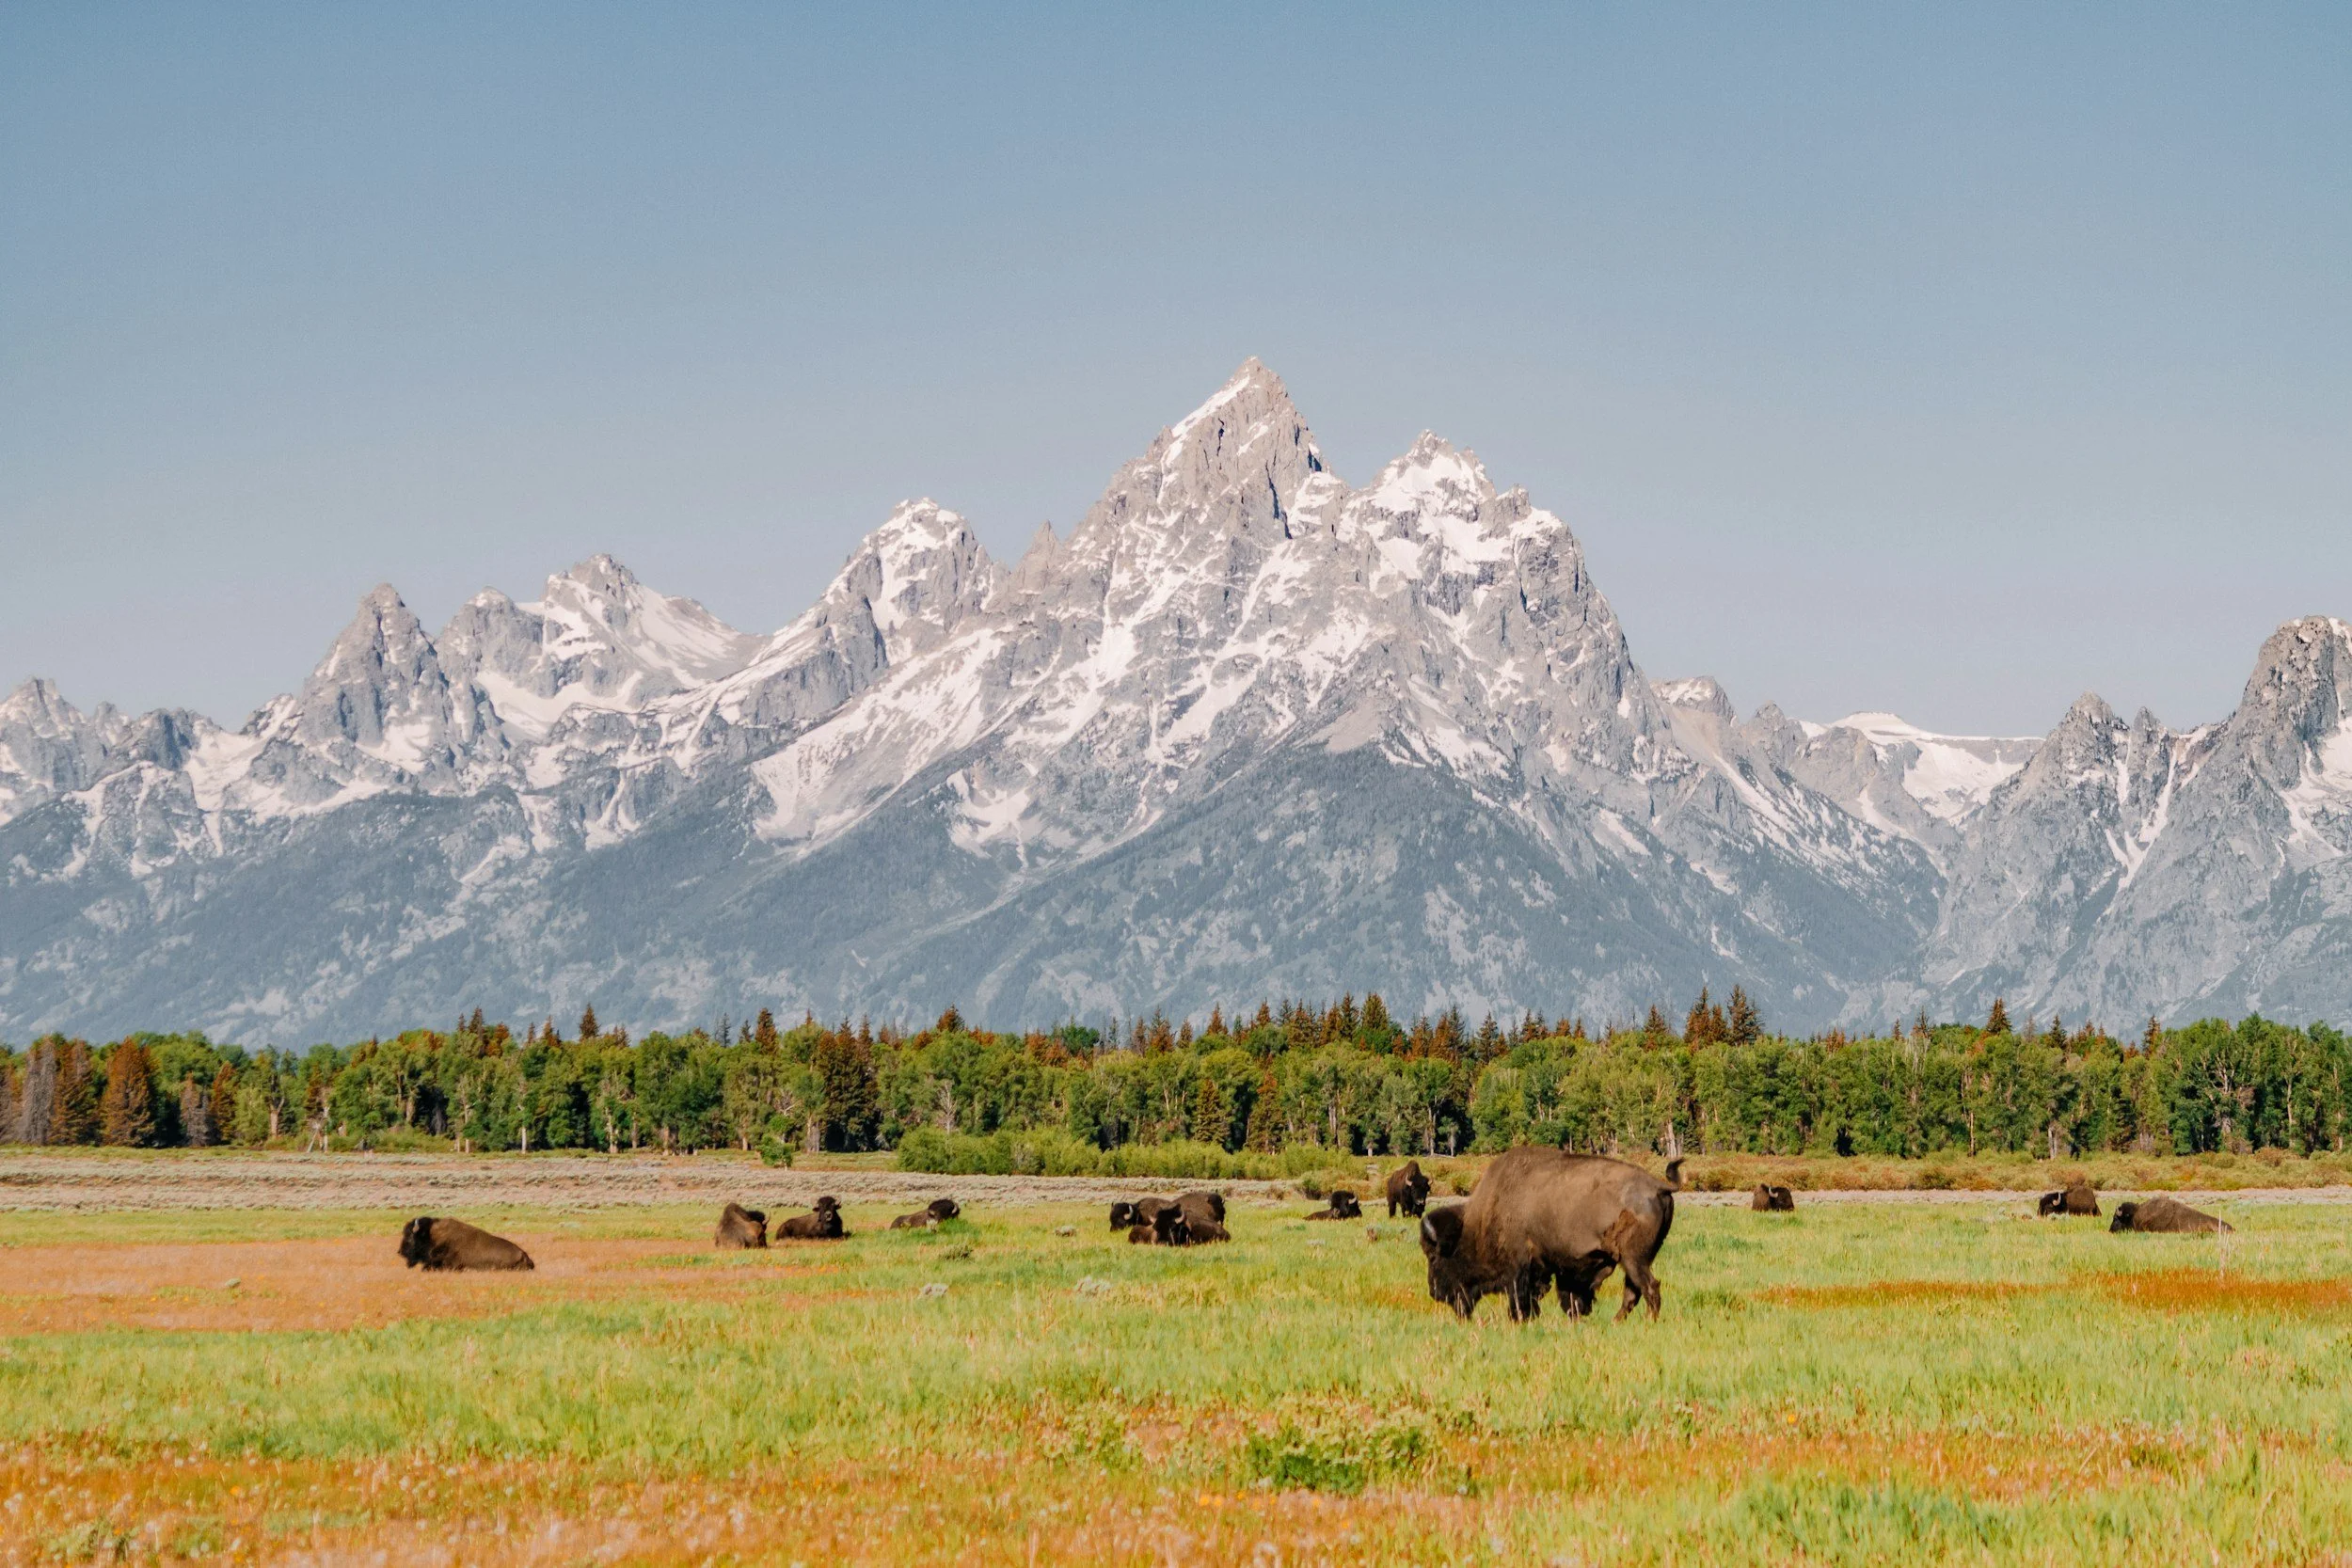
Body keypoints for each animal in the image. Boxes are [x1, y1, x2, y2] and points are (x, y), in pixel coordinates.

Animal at [1419, 1149, 1682, 1323]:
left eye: (1434, 1257)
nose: (1434, 1292)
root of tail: (1658, 1185)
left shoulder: (1520, 1268)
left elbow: (1521, 1298)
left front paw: (1520, 1319)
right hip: (1635, 1260)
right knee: (1633, 1291)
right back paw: (1616, 1322)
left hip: (1633, 1258)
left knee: (1648, 1287)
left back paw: (1647, 1321)